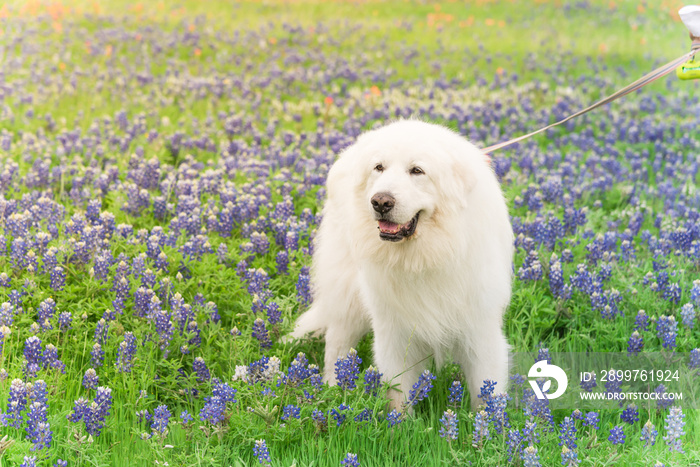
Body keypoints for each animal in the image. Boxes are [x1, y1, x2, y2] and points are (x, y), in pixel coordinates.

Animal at [290, 119, 516, 410]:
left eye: (417, 170)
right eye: (379, 167)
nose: (380, 201)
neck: (423, 257)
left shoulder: (480, 329)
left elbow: (485, 392)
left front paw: (487, 423)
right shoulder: (394, 330)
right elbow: (398, 393)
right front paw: (399, 420)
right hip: (347, 290)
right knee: (337, 344)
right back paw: (332, 390)